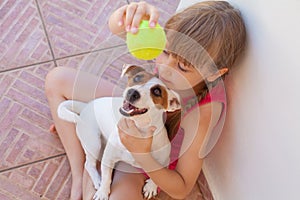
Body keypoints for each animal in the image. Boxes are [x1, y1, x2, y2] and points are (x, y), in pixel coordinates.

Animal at [57, 64, 182, 200]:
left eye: (157, 92)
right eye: (137, 78)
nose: (132, 92)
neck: (139, 130)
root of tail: (86, 106)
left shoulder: (165, 161)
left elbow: (157, 176)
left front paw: (151, 187)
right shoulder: (108, 158)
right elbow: (107, 178)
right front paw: (102, 192)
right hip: (94, 143)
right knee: (89, 164)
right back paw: (97, 180)